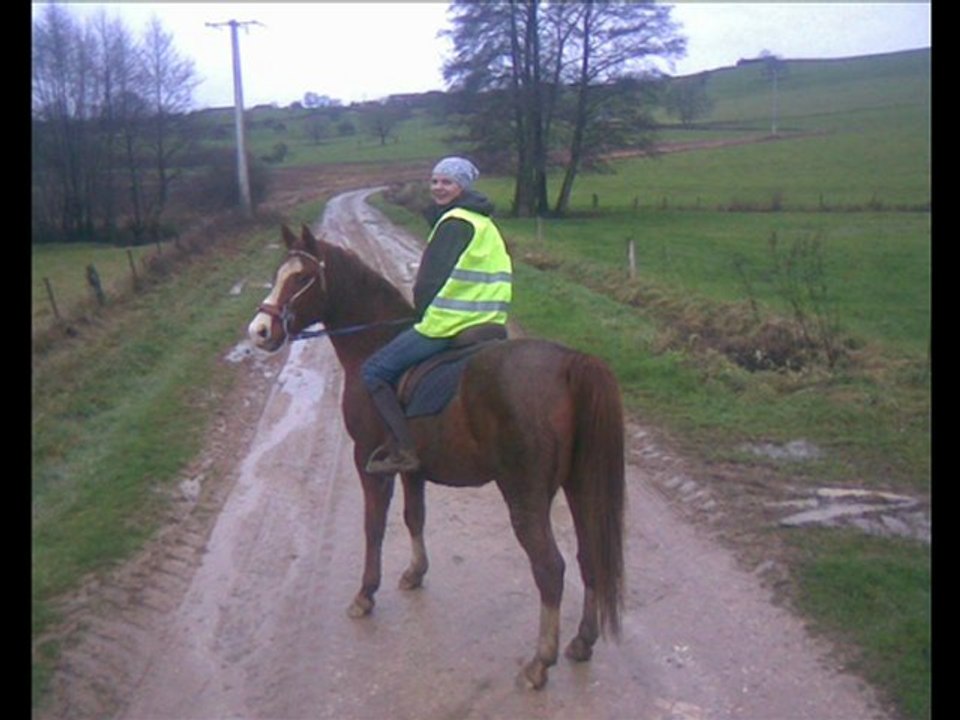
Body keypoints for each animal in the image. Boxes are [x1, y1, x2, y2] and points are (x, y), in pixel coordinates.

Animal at [247, 224, 626, 689]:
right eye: (276, 274)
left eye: (301, 279)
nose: (259, 331)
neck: (373, 342)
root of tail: (570, 363)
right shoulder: (413, 469)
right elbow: (414, 517)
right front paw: (415, 573)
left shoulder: (366, 460)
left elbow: (374, 527)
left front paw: (365, 593)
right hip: (581, 485)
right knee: (590, 557)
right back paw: (582, 641)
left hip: (525, 495)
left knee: (550, 569)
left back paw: (541, 662)